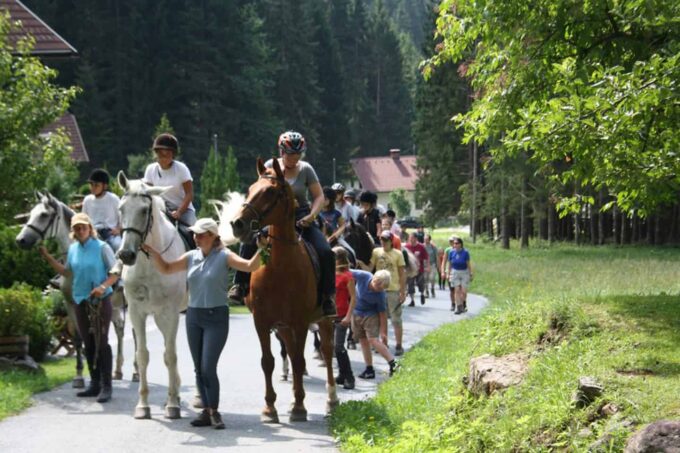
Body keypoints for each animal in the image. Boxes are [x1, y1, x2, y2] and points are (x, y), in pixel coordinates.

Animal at [14, 191, 131, 382]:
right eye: (30, 213)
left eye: (44, 215)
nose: (20, 240)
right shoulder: (71, 304)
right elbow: (78, 338)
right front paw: (79, 375)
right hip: (114, 305)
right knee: (120, 329)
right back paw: (118, 370)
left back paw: (135, 373)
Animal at [116, 171, 186, 418]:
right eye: (121, 209)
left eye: (145, 210)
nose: (126, 255)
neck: (150, 263)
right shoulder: (137, 312)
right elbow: (143, 355)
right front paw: (143, 406)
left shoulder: (171, 313)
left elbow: (171, 355)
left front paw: (173, 404)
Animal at [230, 158, 338, 420]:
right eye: (250, 188)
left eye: (271, 192)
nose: (237, 224)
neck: (279, 267)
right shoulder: (262, 321)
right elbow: (268, 361)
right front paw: (270, 407)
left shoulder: (300, 321)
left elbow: (299, 361)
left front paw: (299, 407)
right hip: (284, 327)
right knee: (289, 350)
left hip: (323, 320)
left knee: (328, 352)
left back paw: (331, 400)